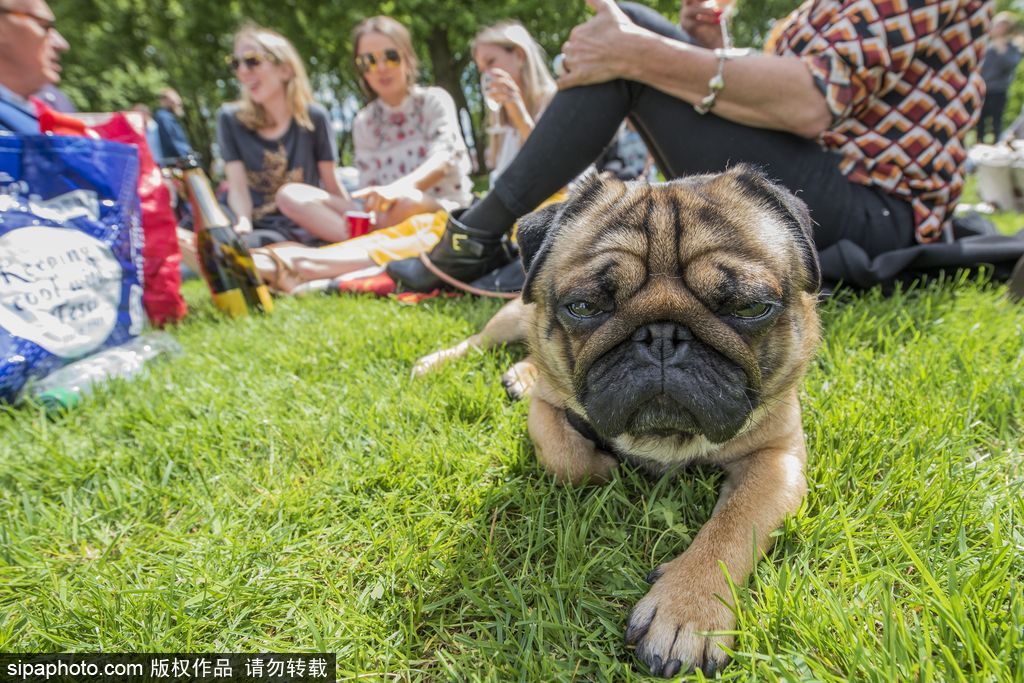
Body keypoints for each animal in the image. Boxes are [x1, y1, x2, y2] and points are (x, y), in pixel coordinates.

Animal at [411, 166, 819, 679]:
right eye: (583, 308)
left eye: (749, 308)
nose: (662, 335)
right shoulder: (546, 409)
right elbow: (566, 457)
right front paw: (605, 466)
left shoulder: (776, 458)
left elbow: (731, 527)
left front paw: (687, 607)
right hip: (509, 315)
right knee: (482, 340)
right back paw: (439, 363)